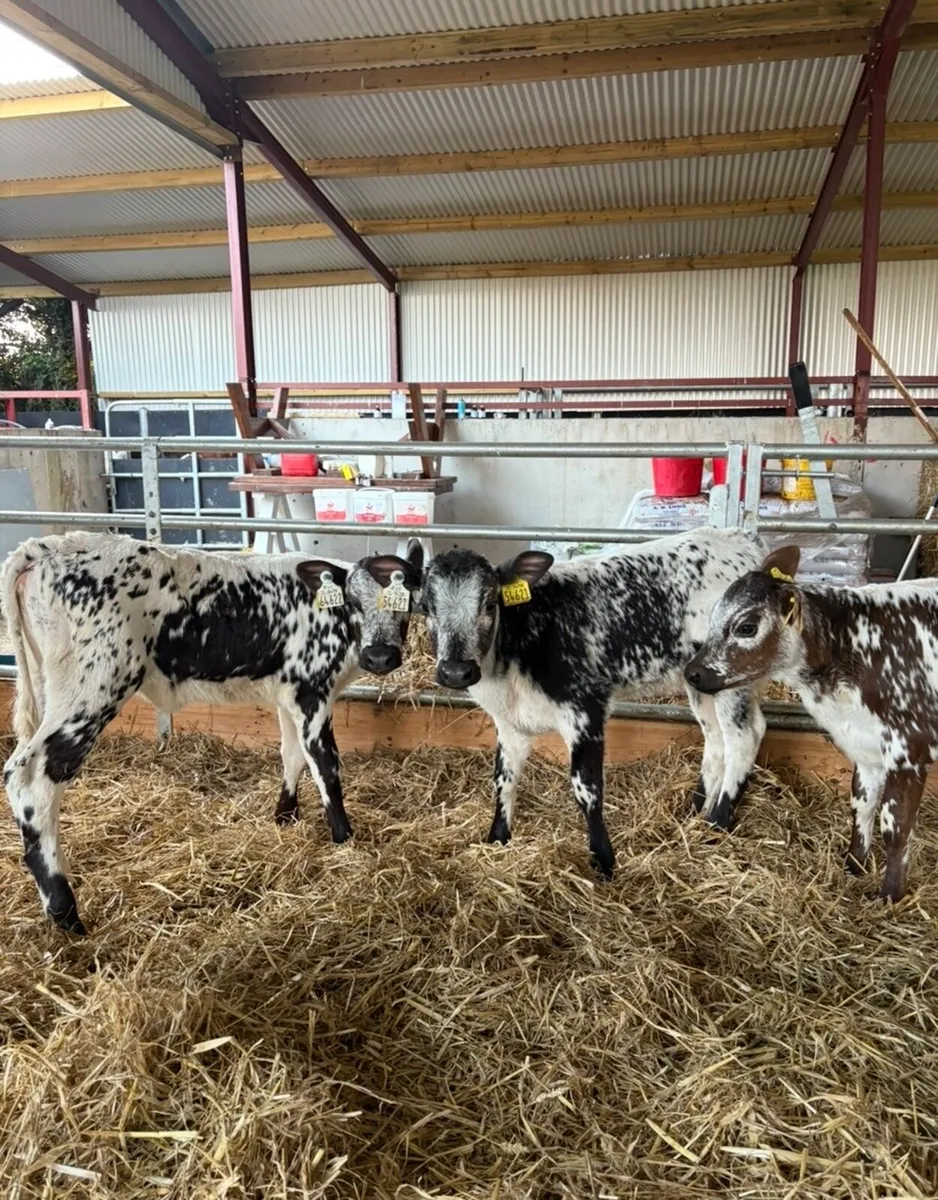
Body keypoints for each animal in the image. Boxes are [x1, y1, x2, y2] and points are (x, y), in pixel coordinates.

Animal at [2, 532, 424, 934]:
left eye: (405, 600)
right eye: (352, 601)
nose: (380, 656)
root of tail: (48, 546)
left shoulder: (287, 693)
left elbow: (291, 755)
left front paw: (284, 817)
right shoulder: (312, 690)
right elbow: (325, 764)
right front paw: (343, 838)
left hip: (49, 688)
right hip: (93, 688)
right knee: (32, 777)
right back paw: (65, 912)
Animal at [419, 527, 769, 876]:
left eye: (490, 604)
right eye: (424, 607)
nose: (456, 671)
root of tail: (741, 537)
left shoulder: (585, 708)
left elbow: (586, 789)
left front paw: (603, 861)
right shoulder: (508, 722)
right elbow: (504, 779)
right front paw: (497, 839)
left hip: (731, 676)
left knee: (744, 737)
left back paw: (717, 823)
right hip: (700, 681)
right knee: (716, 739)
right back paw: (696, 812)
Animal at [684, 544, 938, 902]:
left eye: (746, 627)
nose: (692, 671)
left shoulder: (909, 751)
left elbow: (896, 828)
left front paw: (889, 896)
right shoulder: (865, 748)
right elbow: (861, 806)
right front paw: (853, 866)